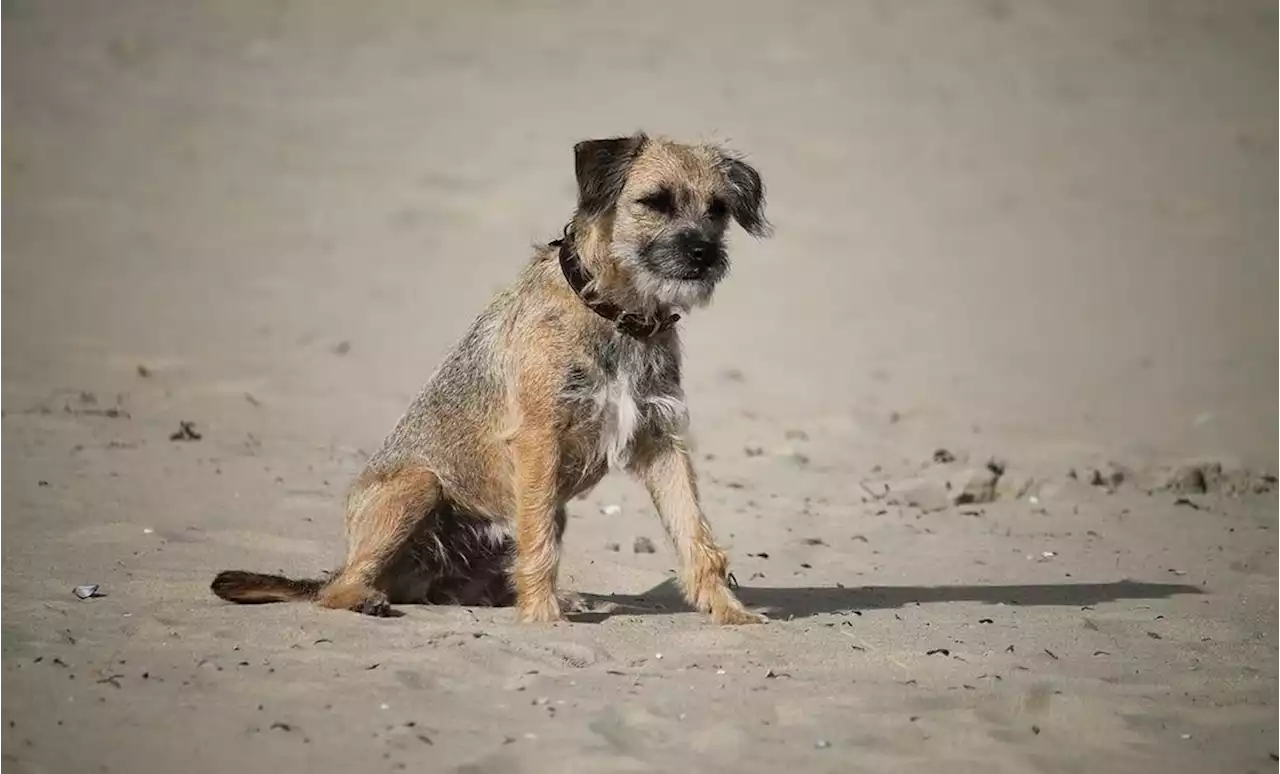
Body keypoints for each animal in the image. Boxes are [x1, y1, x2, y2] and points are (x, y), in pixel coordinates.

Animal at [212, 133, 768, 624]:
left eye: (718, 209)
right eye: (655, 201)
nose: (703, 254)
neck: (615, 314)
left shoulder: (661, 441)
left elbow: (694, 534)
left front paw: (729, 612)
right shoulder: (540, 439)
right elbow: (539, 541)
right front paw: (542, 618)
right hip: (418, 485)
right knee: (336, 589)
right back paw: (368, 598)